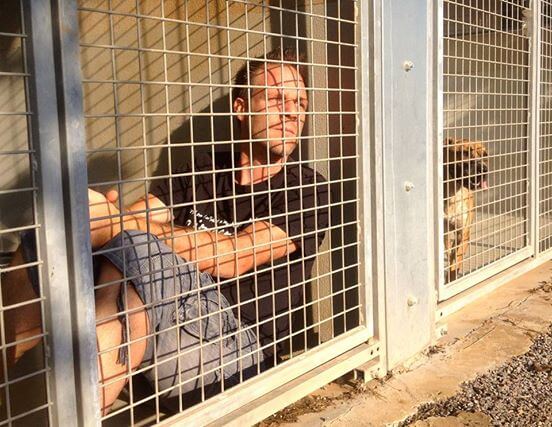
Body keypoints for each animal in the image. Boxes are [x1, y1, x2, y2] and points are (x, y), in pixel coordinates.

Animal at [444, 139, 488, 282]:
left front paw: (452, 278)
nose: (484, 169)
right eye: (464, 153)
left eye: (485, 155)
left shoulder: (463, 232)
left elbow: (456, 259)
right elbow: (449, 252)